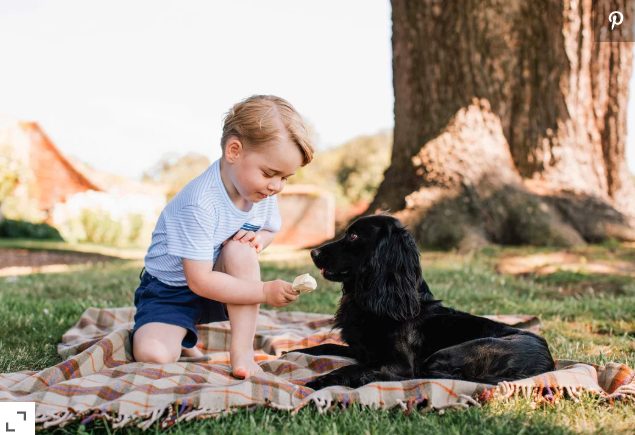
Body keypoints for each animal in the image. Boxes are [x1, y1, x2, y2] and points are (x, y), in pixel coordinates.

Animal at [290, 215, 555, 390]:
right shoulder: (362, 351)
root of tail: (548, 364)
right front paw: (292, 352)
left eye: (354, 235)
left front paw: (317, 381)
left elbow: (352, 368)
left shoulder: (400, 364)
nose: (313, 252)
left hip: (446, 355)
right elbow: (323, 346)